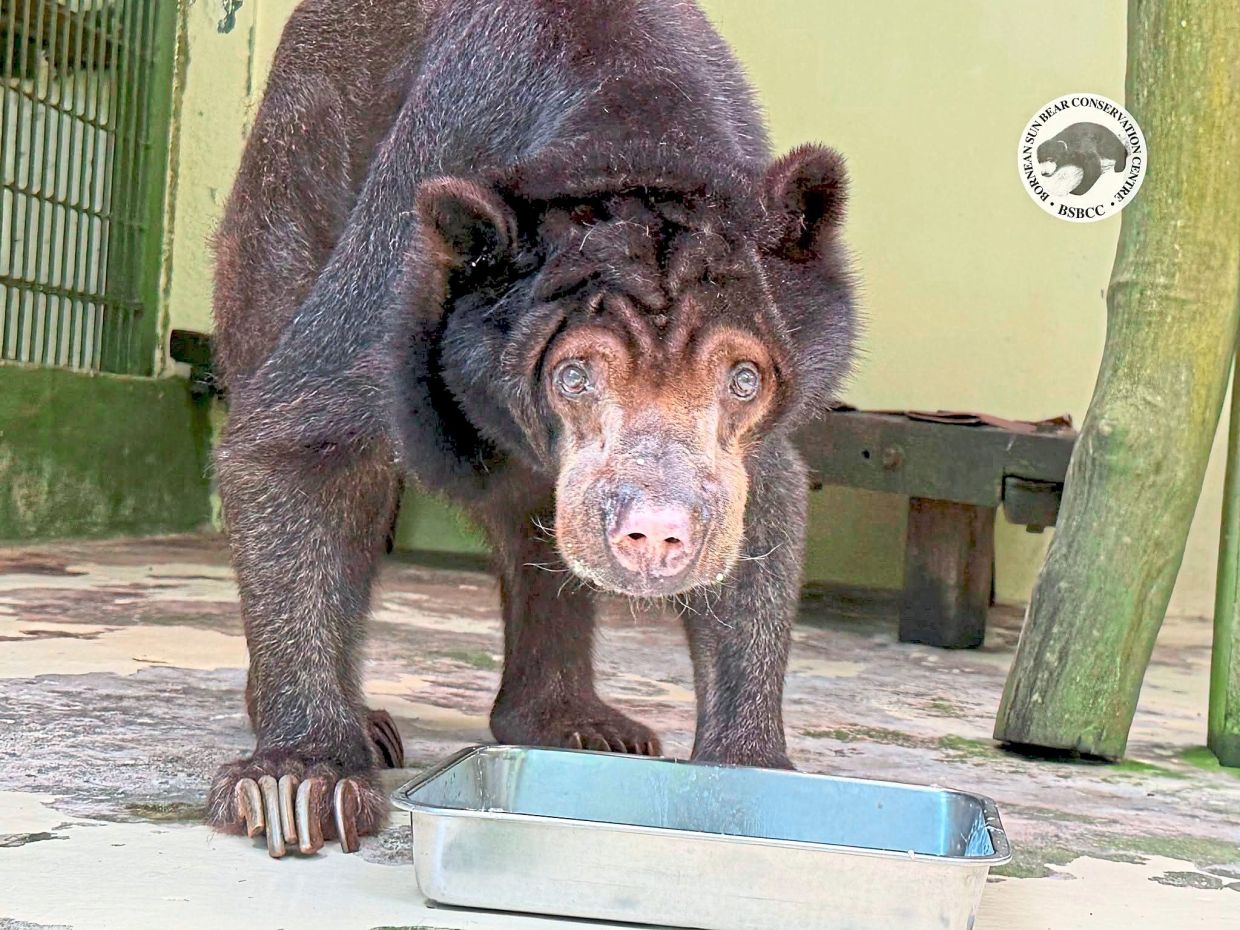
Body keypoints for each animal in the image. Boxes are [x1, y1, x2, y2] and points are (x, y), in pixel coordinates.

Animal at [207, 0, 856, 858]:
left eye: (743, 377)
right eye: (573, 374)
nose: (657, 533)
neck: (633, 138)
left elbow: (761, 509)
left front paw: (752, 772)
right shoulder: (406, 258)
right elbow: (294, 441)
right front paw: (298, 781)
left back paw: (571, 723)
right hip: (291, 185)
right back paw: (369, 724)